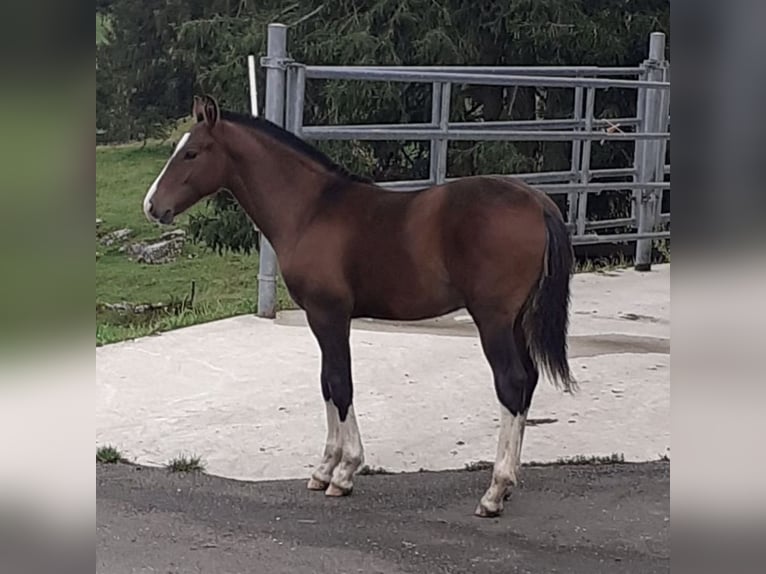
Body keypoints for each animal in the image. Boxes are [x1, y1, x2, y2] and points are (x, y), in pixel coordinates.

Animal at [144, 97, 576, 520]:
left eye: (192, 153)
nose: (151, 206)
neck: (309, 211)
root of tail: (537, 203)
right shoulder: (322, 318)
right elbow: (327, 384)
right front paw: (323, 469)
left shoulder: (328, 314)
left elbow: (340, 383)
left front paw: (343, 472)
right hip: (515, 320)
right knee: (528, 380)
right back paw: (507, 485)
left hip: (493, 319)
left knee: (511, 383)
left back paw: (494, 491)